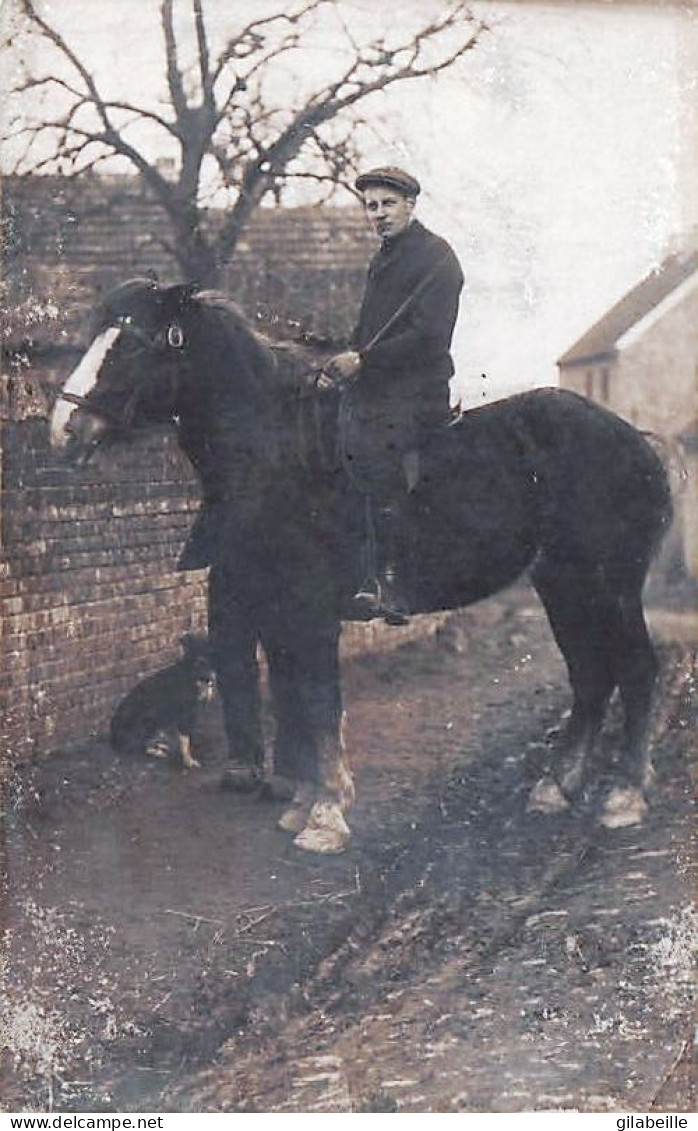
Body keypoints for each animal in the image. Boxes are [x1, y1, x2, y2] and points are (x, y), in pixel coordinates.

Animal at [108, 637, 214, 769]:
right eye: (198, 661)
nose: (209, 679)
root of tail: (113, 737)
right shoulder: (184, 716)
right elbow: (185, 741)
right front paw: (188, 761)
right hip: (150, 720)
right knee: (139, 747)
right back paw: (156, 751)